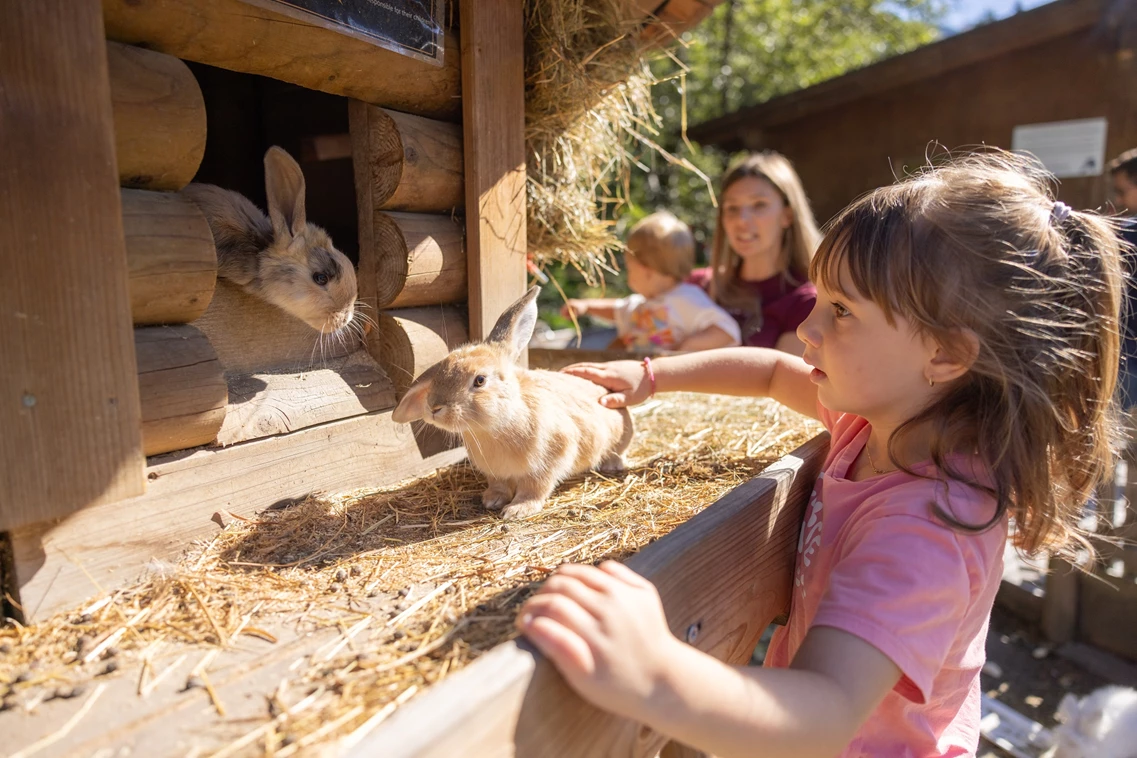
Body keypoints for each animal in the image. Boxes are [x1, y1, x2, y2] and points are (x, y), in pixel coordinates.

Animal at [393, 286, 636, 522]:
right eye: (440, 373)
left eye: (480, 380)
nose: (434, 407)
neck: (495, 427)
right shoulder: (496, 473)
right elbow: (499, 486)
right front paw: (492, 500)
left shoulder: (549, 461)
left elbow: (534, 488)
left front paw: (517, 510)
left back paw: (611, 464)